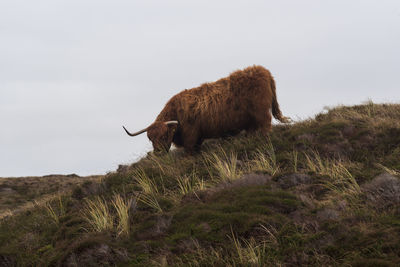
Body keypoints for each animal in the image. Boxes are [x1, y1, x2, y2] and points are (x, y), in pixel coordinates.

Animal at [122, 65, 290, 154]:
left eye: (164, 136)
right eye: (150, 138)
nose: (158, 153)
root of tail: (263, 71)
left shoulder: (190, 138)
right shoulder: (198, 140)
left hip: (262, 114)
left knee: (266, 126)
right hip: (251, 121)